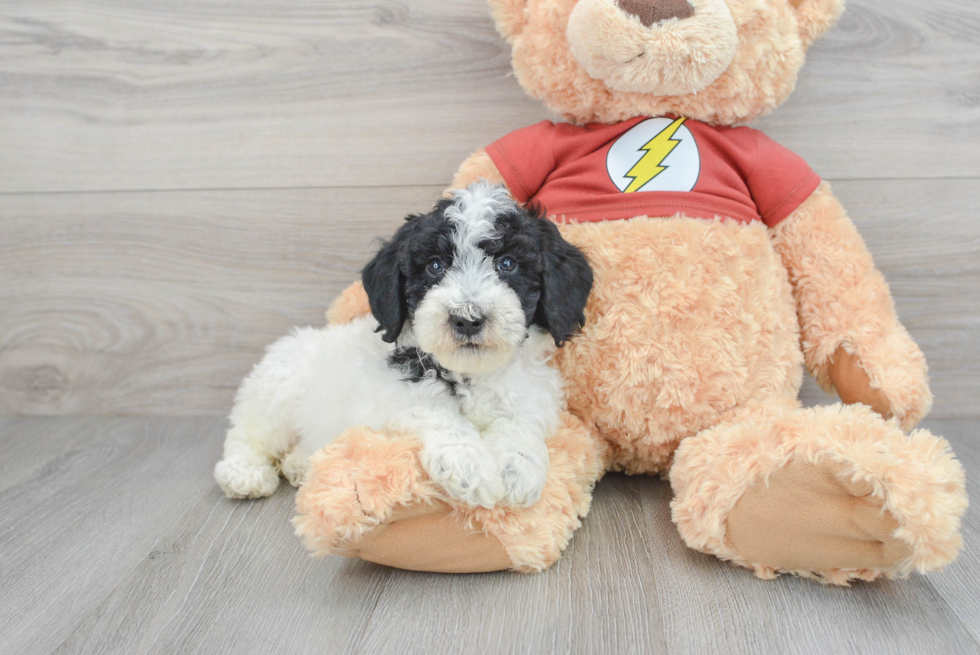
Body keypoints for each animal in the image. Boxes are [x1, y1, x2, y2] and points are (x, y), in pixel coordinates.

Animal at [214, 182, 592, 510]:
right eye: (435, 266)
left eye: (508, 264)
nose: (467, 319)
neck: (468, 374)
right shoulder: (387, 407)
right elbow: (437, 415)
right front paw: (469, 466)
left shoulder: (531, 397)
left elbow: (518, 423)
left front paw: (517, 470)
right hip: (276, 388)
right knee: (247, 434)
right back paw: (244, 474)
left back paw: (299, 464)